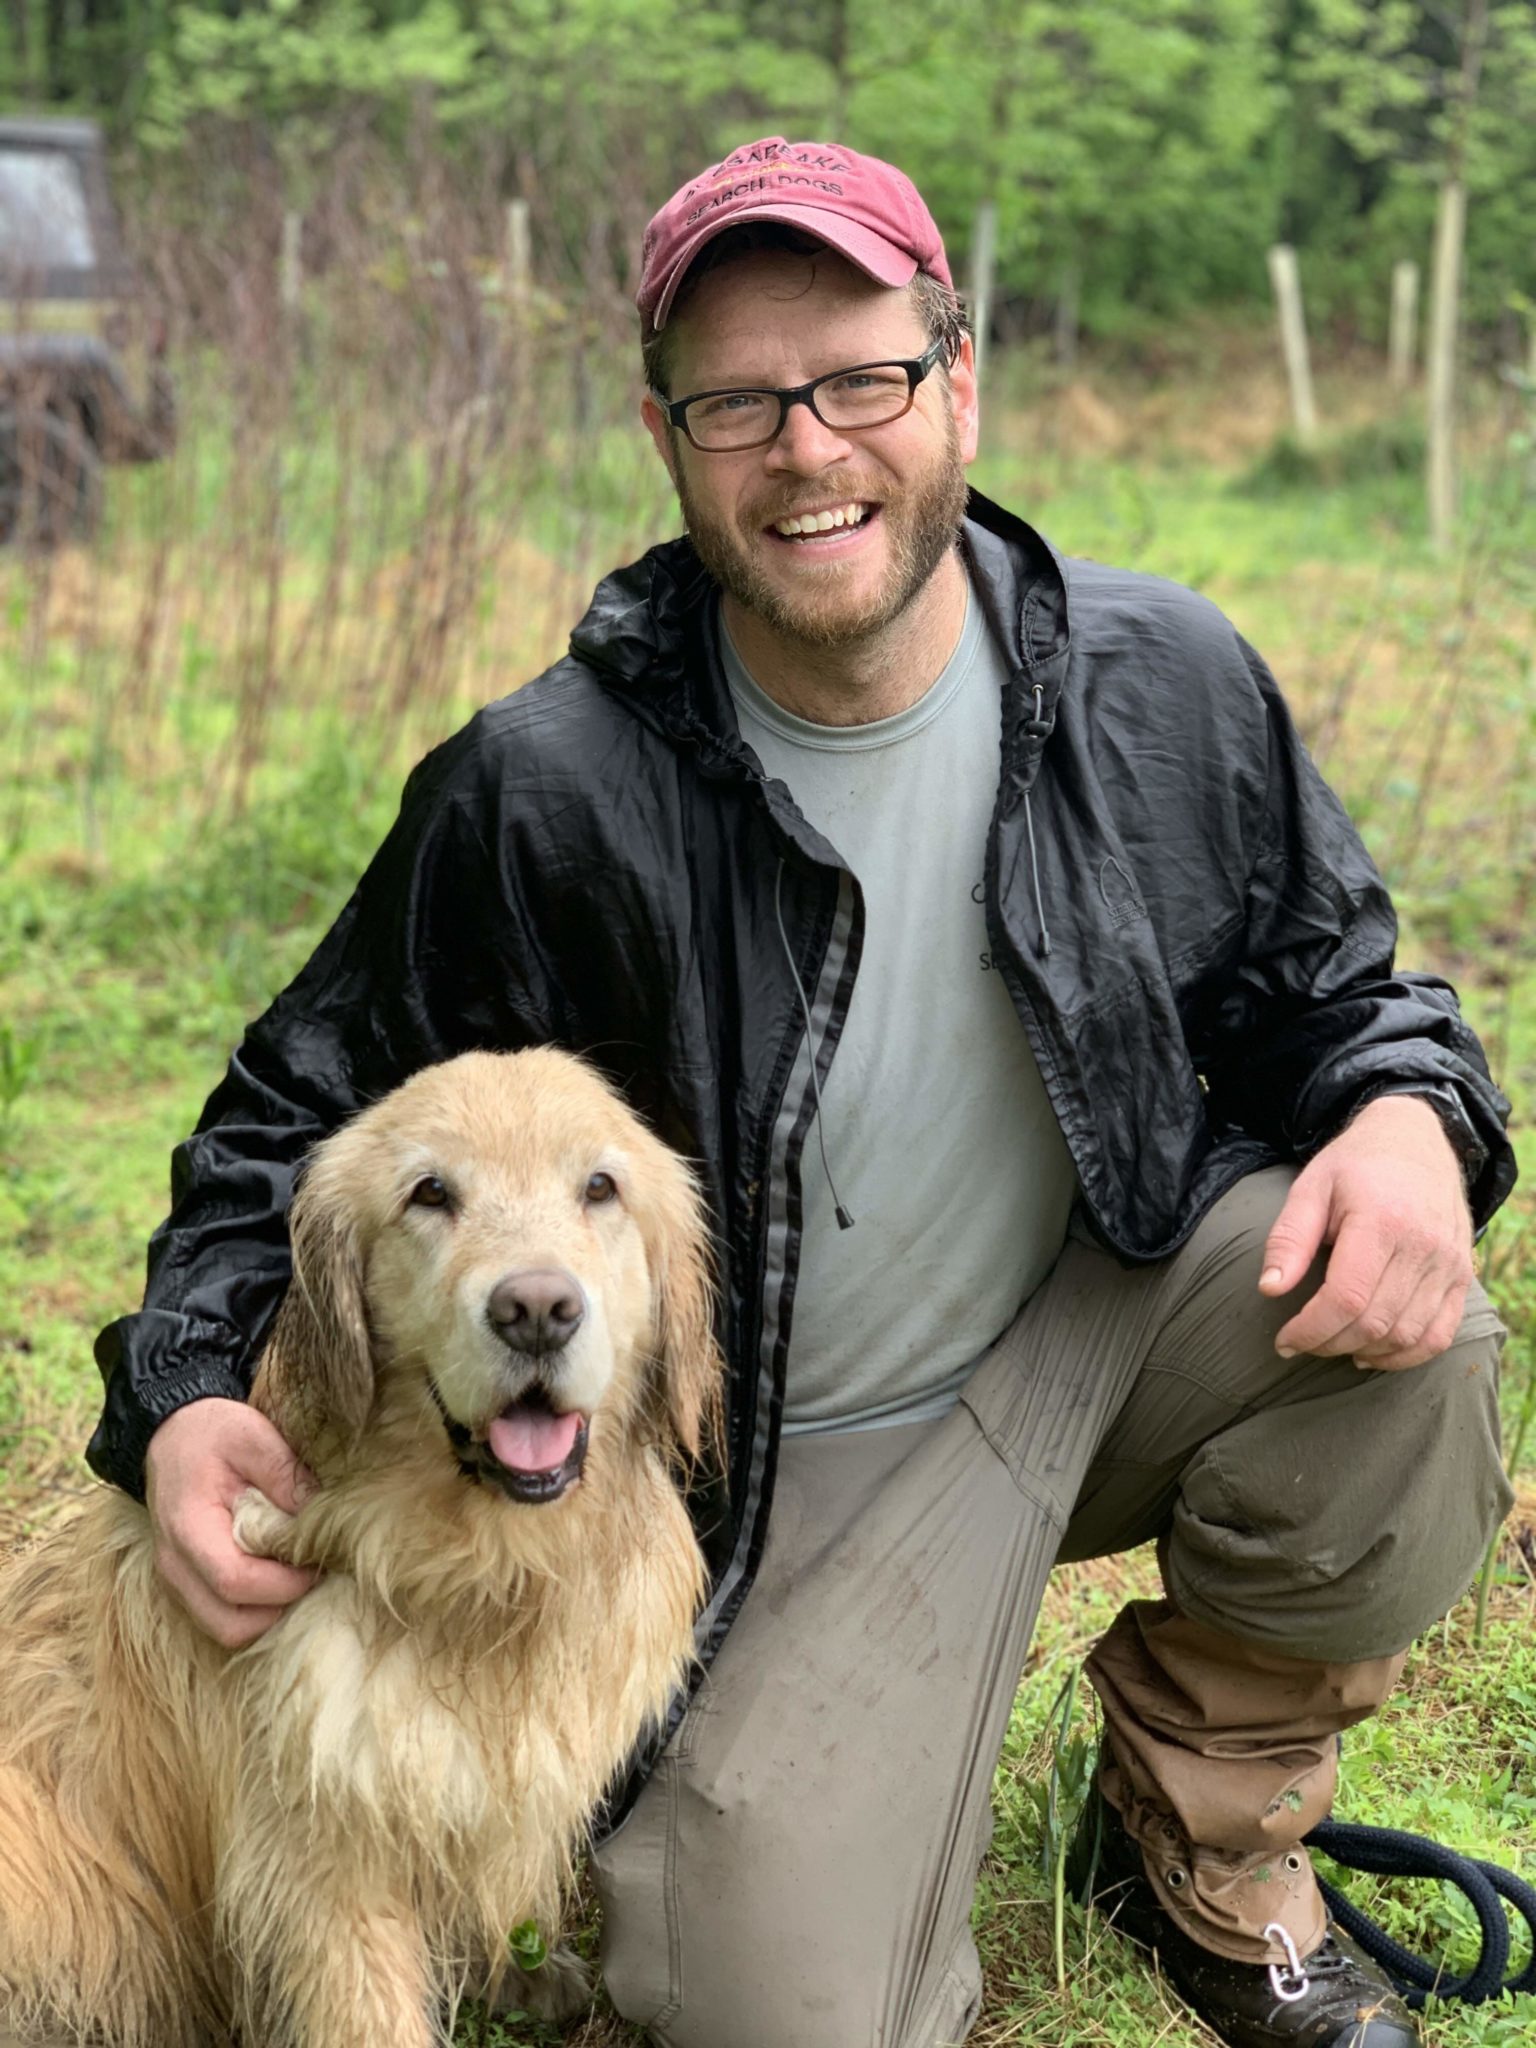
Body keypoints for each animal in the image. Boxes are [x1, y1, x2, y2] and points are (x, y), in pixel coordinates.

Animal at [0, 1056, 720, 2048]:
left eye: (600, 1187)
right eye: (431, 1193)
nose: (536, 1310)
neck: (480, 1581)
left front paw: (523, 1975)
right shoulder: (322, 1864)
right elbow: (372, 2006)